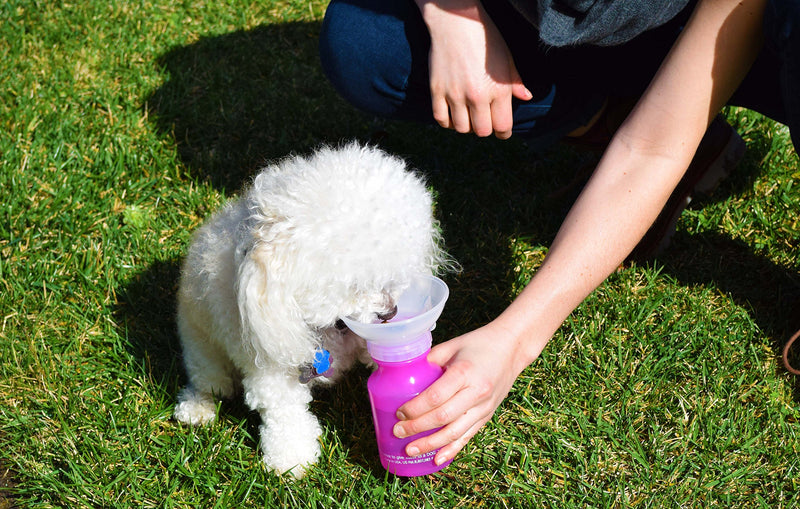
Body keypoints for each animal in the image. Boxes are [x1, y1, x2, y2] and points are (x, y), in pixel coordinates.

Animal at [173, 143, 446, 476]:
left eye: (393, 275)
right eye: (353, 286)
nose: (389, 314)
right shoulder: (271, 366)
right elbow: (285, 413)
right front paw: (291, 459)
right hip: (200, 343)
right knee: (208, 380)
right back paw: (196, 408)